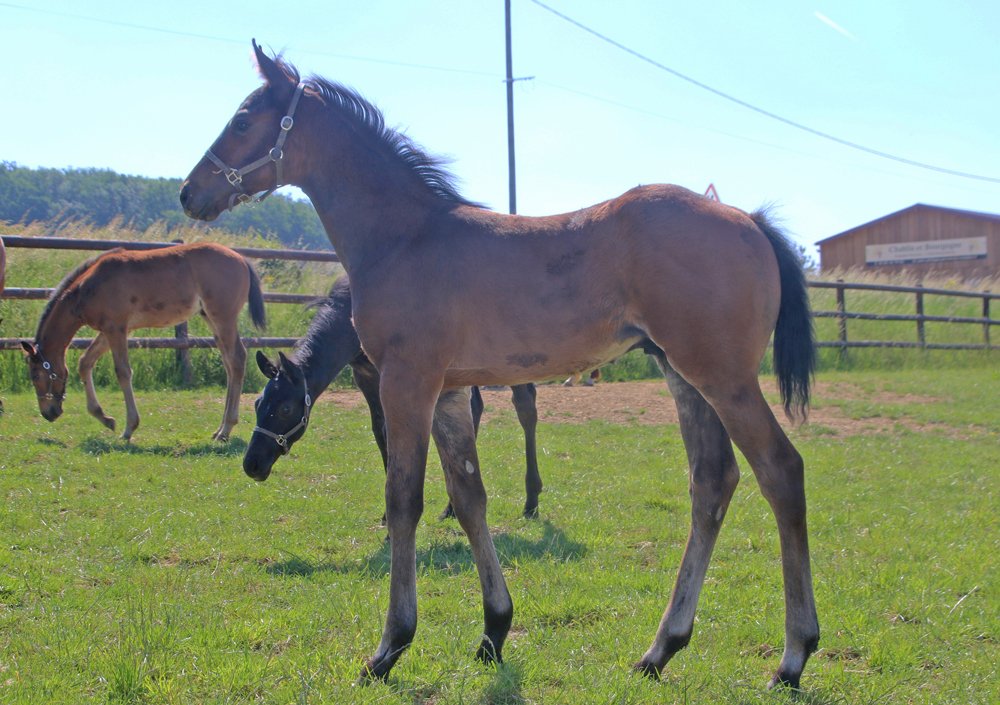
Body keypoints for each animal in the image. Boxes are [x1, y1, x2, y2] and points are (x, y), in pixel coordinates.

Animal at [21, 242, 266, 442]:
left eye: (35, 376)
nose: (48, 413)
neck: (89, 287)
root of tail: (242, 259)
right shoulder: (110, 330)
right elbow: (85, 362)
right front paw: (106, 418)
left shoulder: (116, 328)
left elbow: (122, 371)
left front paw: (129, 428)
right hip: (211, 319)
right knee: (229, 363)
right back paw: (219, 429)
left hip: (222, 318)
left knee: (237, 359)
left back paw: (226, 429)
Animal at [245, 275, 544, 519]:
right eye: (257, 403)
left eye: (285, 409)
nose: (252, 464)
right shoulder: (365, 375)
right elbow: (381, 433)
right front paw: (388, 516)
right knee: (477, 407)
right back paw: (452, 507)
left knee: (525, 406)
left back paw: (531, 500)